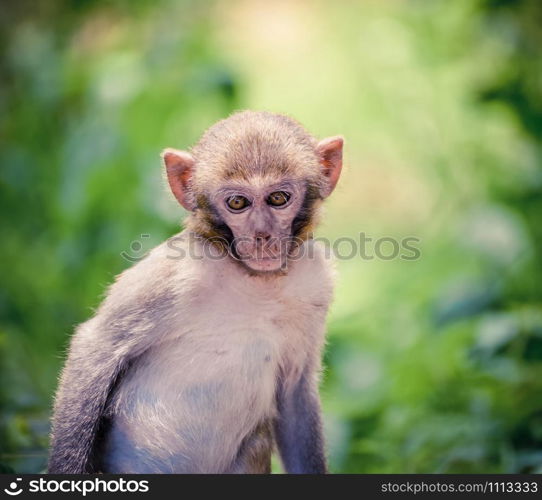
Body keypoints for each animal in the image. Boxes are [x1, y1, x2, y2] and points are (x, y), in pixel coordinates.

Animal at [47, 109, 344, 472]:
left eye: (278, 199)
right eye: (238, 202)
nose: (262, 235)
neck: (255, 279)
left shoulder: (316, 282)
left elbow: (295, 391)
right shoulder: (174, 273)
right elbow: (96, 347)